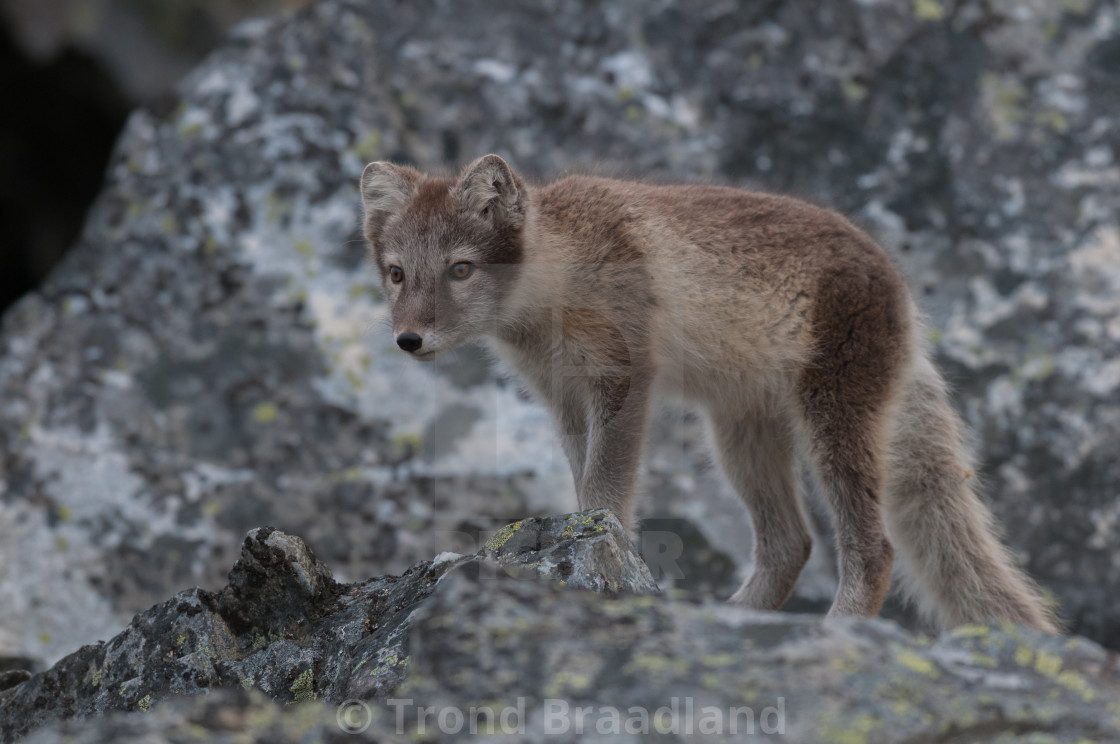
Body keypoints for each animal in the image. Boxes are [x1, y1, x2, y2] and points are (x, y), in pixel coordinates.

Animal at [358, 153, 1057, 631]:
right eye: (396, 274)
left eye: (461, 269)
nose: (408, 340)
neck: (559, 280)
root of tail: (903, 289)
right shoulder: (564, 400)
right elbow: (583, 485)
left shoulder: (623, 380)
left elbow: (606, 490)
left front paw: (600, 551)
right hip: (739, 438)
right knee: (790, 545)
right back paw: (737, 619)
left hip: (832, 420)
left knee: (871, 547)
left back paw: (835, 632)